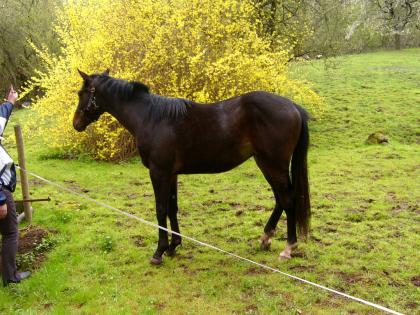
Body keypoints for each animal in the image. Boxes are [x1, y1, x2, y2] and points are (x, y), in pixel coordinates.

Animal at [72, 70, 310, 266]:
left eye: (81, 93)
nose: (76, 123)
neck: (151, 117)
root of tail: (294, 107)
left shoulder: (159, 172)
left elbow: (161, 210)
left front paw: (159, 252)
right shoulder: (171, 174)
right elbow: (172, 208)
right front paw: (173, 246)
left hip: (274, 165)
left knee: (288, 199)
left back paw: (288, 248)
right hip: (266, 163)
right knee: (280, 199)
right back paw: (266, 238)